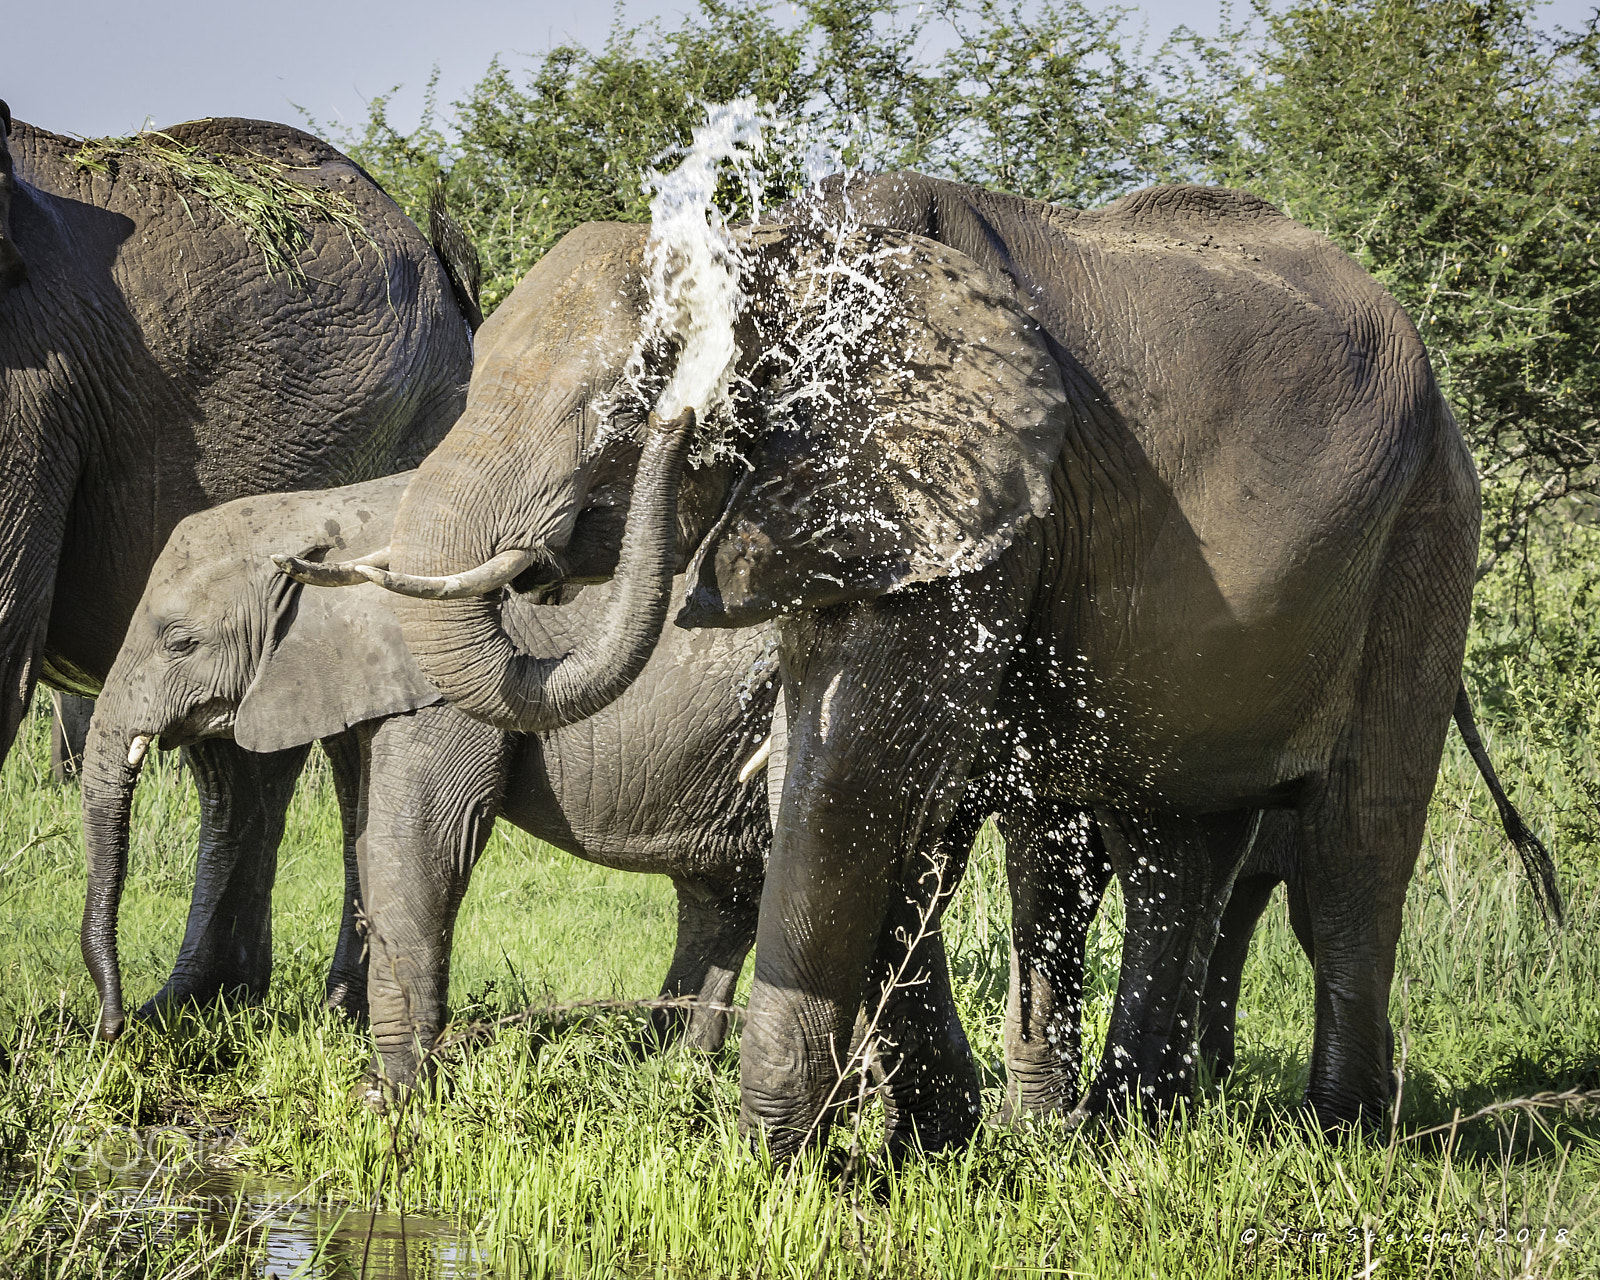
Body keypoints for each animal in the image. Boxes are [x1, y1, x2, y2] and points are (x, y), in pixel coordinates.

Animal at [79, 471, 779, 1086]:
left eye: (178, 642)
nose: (113, 1032)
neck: (326, 512)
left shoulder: (444, 691)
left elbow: (419, 846)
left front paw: (388, 1093)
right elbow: (368, 839)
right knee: (719, 900)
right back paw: (676, 1066)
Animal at [285, 173, 1496, 1155]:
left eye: (628, 400)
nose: (678, 422)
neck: (790, 255)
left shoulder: (966, 495)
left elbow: (853, 774)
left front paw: (776, 1164)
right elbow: (854, 785)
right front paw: (929, 1140)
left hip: (1426, 534)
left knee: (1354, 843)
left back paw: (1339, 1134)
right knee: (1174, 844)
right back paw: (1121, 1135)